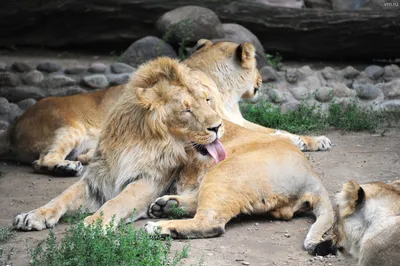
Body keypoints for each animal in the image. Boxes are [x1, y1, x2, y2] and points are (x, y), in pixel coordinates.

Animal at [0, 40, 330, 177]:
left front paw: (314, 139)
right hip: (69, 127)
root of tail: (12, 126)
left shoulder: (230, 118)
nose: (261, 79)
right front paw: (298, 141)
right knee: (42, 161)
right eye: (257, 64)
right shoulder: (222, 121)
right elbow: (274, 131)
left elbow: (274, 128)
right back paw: (66, 168)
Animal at [12, 57, 227, 231]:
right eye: (186, 110)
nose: (218, 126)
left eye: (207, 100)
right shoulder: (98, 178)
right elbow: (62, 196)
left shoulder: (150, 180)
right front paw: (32, 216)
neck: (141, 140)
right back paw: (166, 206)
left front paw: (93, 224)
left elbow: (117, 201)